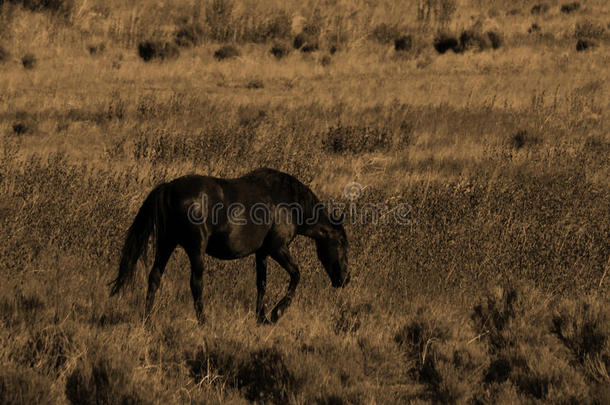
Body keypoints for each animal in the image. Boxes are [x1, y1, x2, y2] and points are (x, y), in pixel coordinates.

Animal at [108, 166, 346, 322]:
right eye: (342, 243)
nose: (345, 278)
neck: (288, 202)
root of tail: (168, 188)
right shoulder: (277, 248)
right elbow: (296, 275)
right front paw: (276, 313)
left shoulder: (262, 253)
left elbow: (261, 283)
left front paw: (261, 317)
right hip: (195, 250)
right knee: (195, 284)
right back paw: (203, 321)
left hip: (166, 244)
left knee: (154, 277)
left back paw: (147, 320)